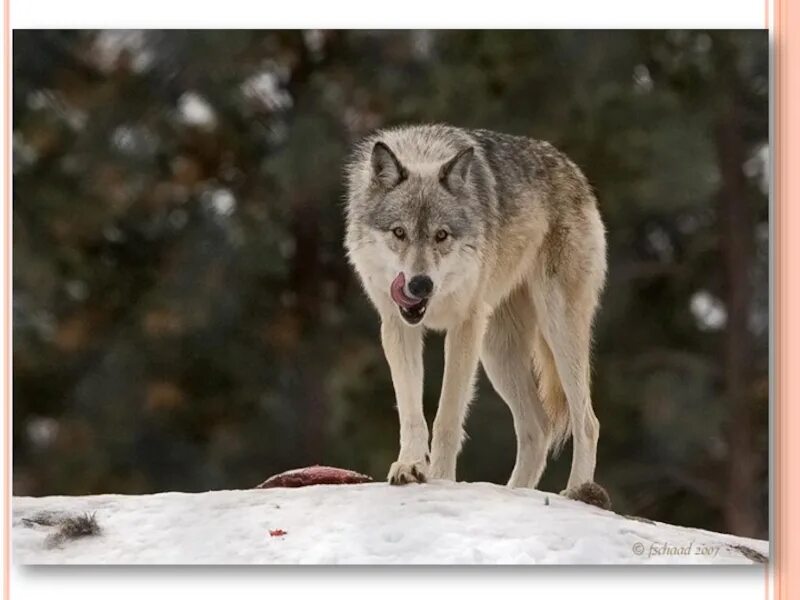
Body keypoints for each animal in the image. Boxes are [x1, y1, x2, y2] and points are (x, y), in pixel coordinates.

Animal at [344, 123, 608, 496]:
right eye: (399, 232)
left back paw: (577, 492)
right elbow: (411, 413)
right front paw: (410, 466)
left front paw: (441, 479)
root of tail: (574, 171)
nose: (420, 285)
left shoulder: (464, 326)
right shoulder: (398, 326)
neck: (423, 152)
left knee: (587, 421)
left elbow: (447, 418)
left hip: (557, 331)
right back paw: (513, 494)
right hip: (498, 352)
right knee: (538, 426)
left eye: (441, 235)